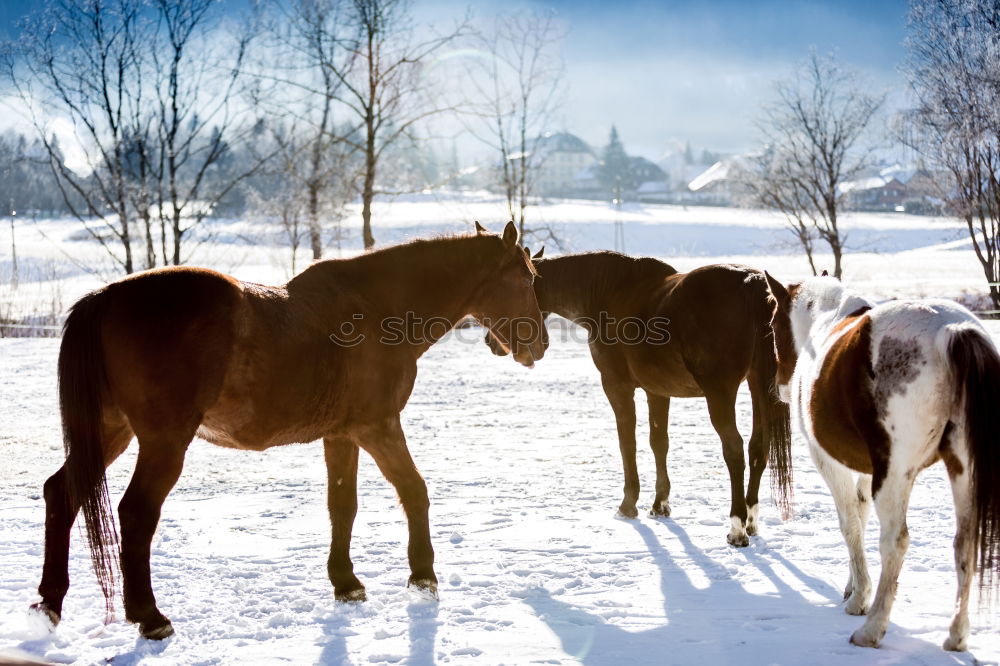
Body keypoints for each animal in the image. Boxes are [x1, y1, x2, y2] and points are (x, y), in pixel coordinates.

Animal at [33, 222, 548, 640]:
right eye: (526, 278)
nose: (539, 345)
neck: (376, 308)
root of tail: (104, 300)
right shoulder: (378, 426)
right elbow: (414, 491)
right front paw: (423, 576)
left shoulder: (341, 435)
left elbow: (342, 505)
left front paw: (346, 583)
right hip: (163, 441)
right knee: (136, 512)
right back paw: (150, 616)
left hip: (109, 431)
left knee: (62, 493)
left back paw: (49, 604)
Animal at [488, 249, 792, 544]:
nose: (492, 342)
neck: (608, 292)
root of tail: (751, 282)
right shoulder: (657, 390)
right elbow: (659, 442)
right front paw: (660, 504)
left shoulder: (617, 386)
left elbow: (628, 443)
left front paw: (628, 504)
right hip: (758, 386)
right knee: (758, 448)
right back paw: (751, 521)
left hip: (720, 392)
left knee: (734, 449)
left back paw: (737, 528)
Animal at [764, 272, 1000, 648]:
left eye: (773, 325)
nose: (782, 387)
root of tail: (950, 331)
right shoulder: (864, 468)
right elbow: (860, 517)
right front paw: (853, 587)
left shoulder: (830, 463)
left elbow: (850, 524)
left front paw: (859, 598)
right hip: (963, 469)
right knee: (965, 543)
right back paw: (956, 636)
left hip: (895, 475)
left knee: (896, 541)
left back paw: (872, 628)